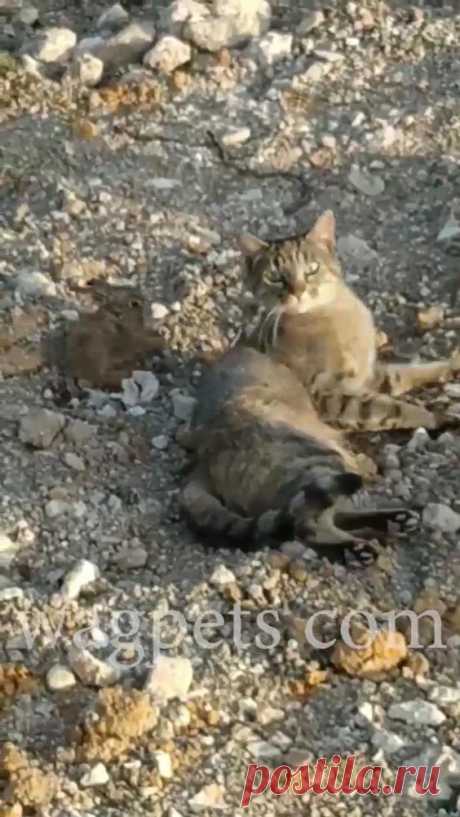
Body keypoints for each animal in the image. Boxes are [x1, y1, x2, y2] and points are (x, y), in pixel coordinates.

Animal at [239, 209, 458, 434]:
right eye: (274, 277)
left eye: (312, 268)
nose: (298, 292)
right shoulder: (328, 396)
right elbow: (391, 409)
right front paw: (436, 416)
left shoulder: (368, 375)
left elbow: (404, 372)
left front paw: (451, 366)